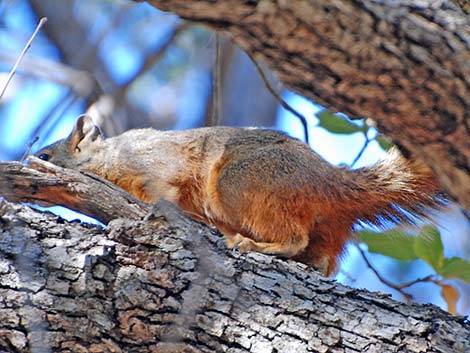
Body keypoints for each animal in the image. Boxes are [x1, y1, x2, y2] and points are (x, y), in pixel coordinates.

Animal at [35, 116, 440, 276]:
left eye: (45, 156)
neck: (109, 158)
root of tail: (330, 182)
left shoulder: (154, 165)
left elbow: (164, 190)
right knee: (321, 258)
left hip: (239, 183)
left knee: (294, 238)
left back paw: (253, 243)